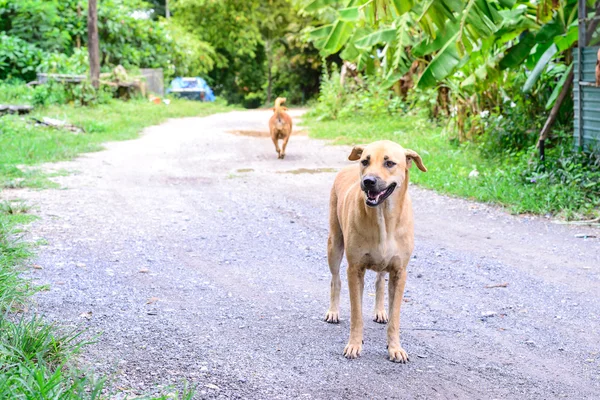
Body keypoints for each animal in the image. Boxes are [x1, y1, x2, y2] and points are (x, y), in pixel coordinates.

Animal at [328, 141, 426, 362]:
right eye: (365, 161)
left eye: (389, 163)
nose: (368, 181)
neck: (383, 217)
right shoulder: (355, 269)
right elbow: (356, 314)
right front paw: (354, 344)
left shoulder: (399, 272)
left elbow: (395, 317)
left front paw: (395, 348)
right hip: (334, 244)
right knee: (335, 279)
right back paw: (333, 311)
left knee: (380, 281)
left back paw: (380, 311)